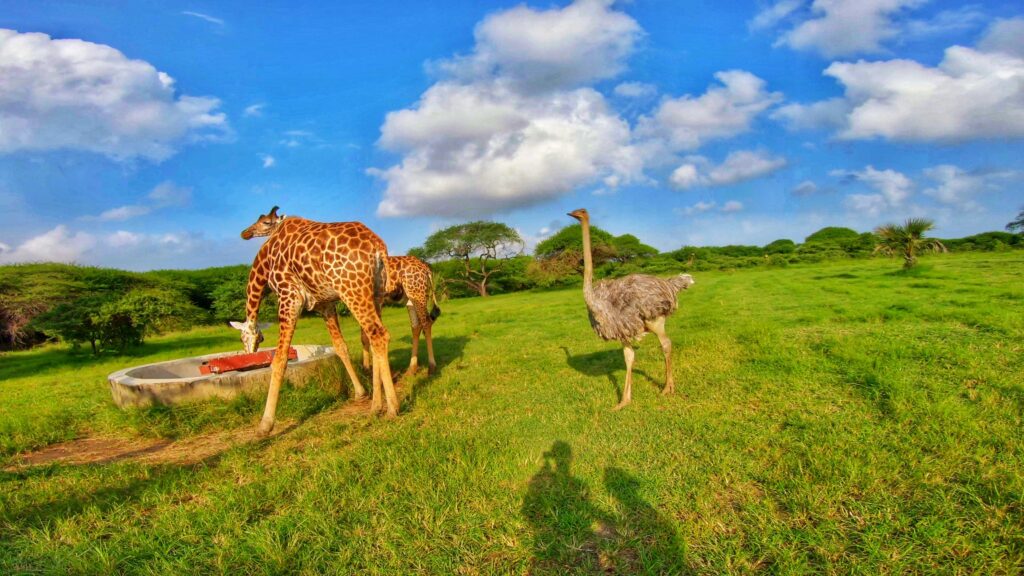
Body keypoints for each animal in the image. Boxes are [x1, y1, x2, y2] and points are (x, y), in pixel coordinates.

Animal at [234, 203, 401, 432]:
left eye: (265, 222)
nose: (245, 233)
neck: (264, 267)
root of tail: (377, 247)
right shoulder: (325, 305)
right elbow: (340, 347)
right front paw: (360, 393)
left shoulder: (288, 297)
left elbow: (279, 360)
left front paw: (265, 425)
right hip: (376, 292)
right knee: (373, 336)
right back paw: (376, 407)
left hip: (352, 289)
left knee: (378, 335)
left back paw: (392, 408)